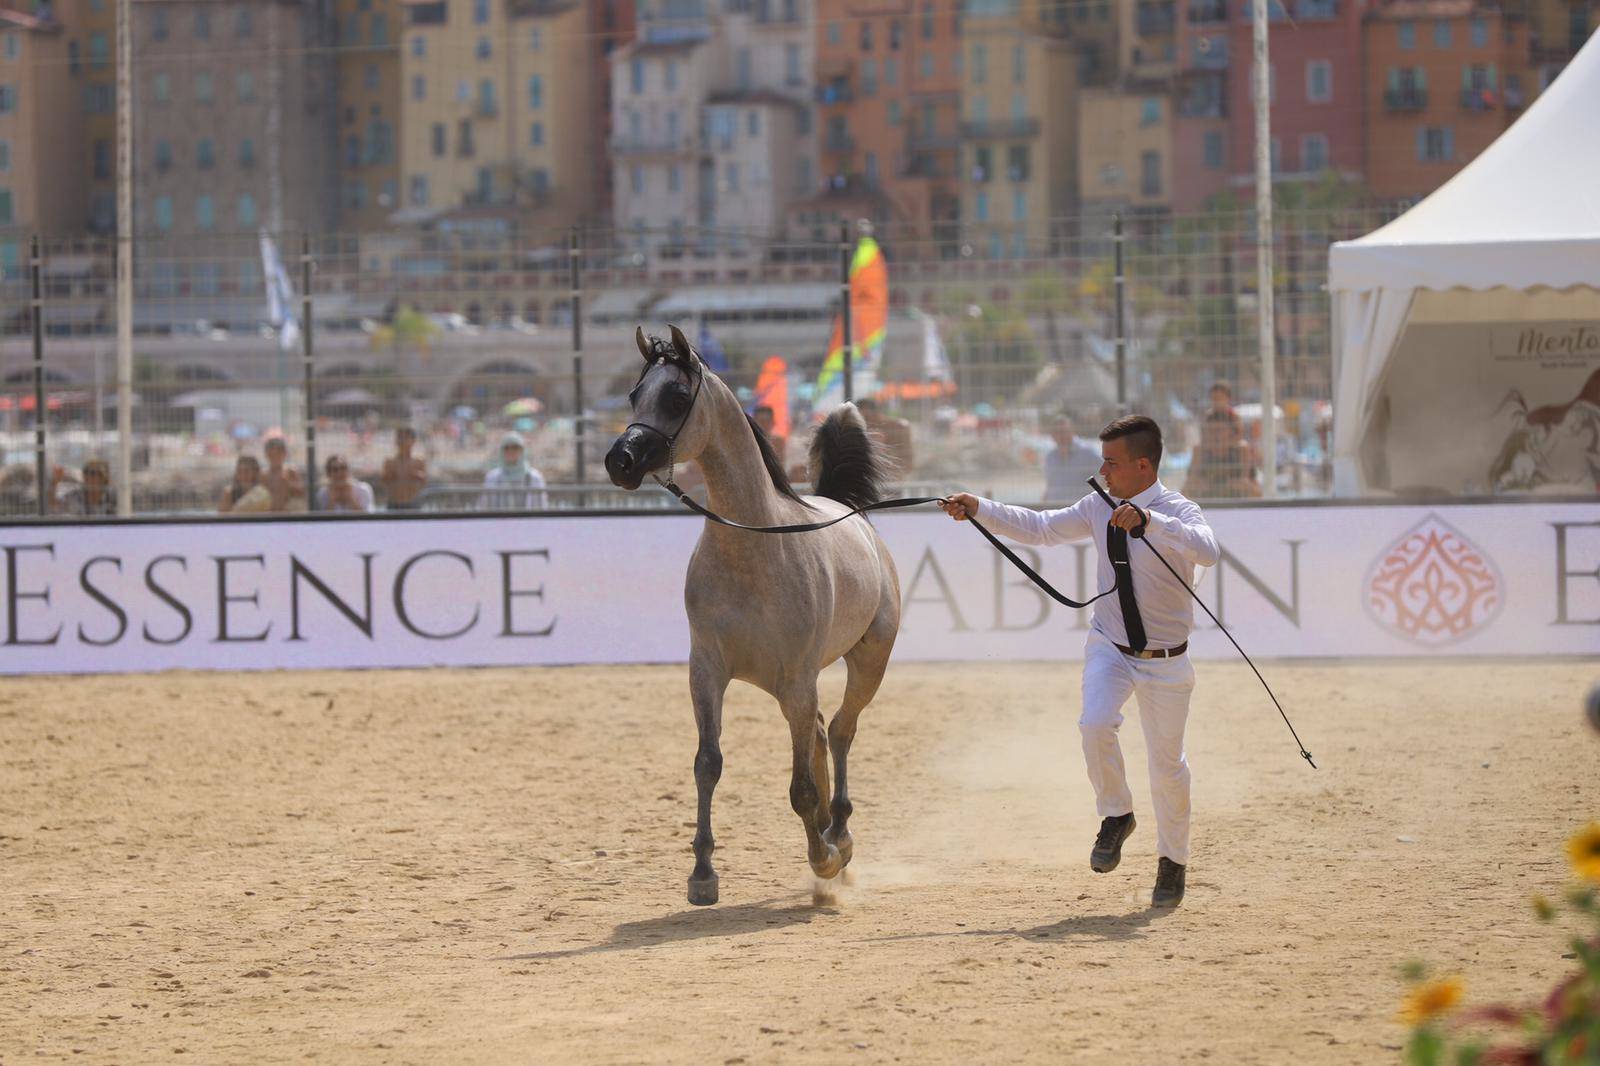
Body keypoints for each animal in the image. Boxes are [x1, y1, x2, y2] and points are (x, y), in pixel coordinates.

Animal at [604, 324, 902, 906]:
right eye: (633, 395)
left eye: (677, 397)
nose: (618, 461)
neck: (755, 549)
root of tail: (850, 513)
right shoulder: (707, 673)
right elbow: (708, 765)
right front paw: (702, 875)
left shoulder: (796, 681)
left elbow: (800, 788)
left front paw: (822, 859)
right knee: (820, 735)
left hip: (864, 665)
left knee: (840, 731)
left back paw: (839, 839)